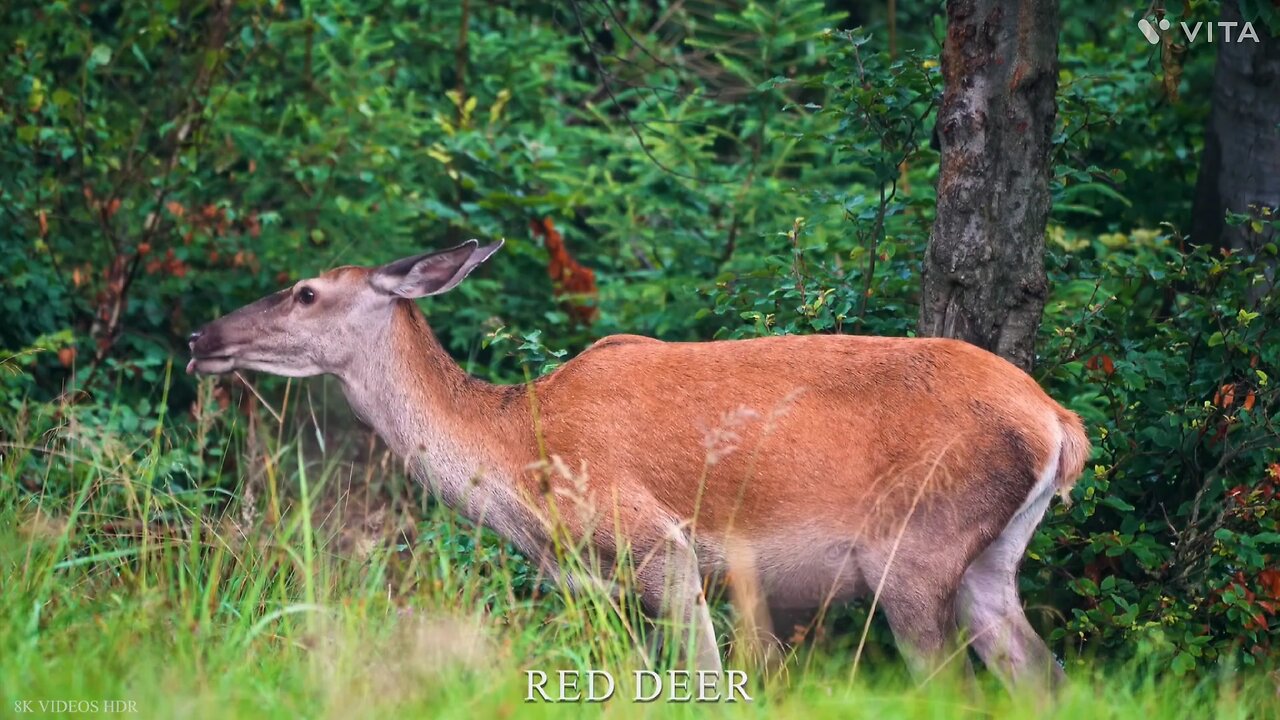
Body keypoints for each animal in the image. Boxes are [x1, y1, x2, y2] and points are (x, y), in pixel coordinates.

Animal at [189, 239, 1090, 691]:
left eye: (306, 292)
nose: (202, 337)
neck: (516, 457)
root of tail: (1059, 423)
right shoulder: (593, 584)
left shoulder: (659, 540)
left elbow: (706, 677)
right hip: (989, 559)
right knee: (1042, 674)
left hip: (912, 546)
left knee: (951, 685)